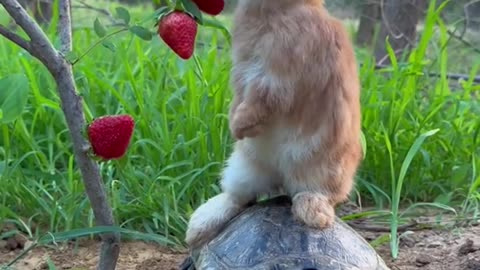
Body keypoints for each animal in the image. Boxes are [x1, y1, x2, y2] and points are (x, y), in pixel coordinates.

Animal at [186, 0, 362, 249]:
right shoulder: (243, 73)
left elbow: (262, 101)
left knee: (318, 194)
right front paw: (235, 126)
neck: (278, 11)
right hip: (244, 167)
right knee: (237, 197)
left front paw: (238, 128)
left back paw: (314, 215)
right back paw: (197, 227)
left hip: (324, 168)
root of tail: (280, 176)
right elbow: (240, 98)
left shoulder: (277, 77)